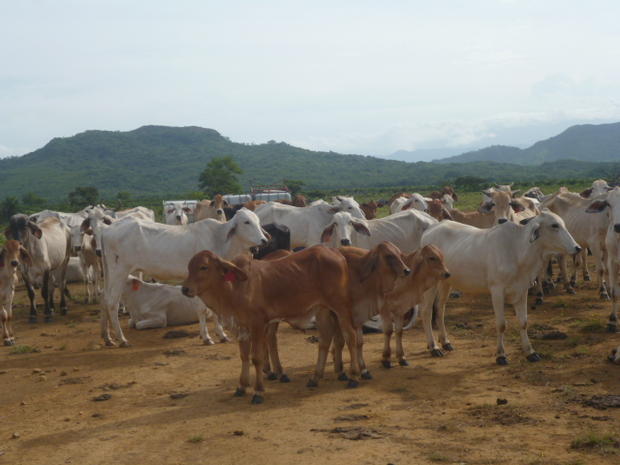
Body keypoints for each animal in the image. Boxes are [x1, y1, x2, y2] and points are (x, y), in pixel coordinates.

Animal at [99, 208, 268, 346]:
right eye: (246, 222)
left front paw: (221, 335)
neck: (219, 239)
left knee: (104, 299)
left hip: (109, 273)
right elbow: (202, 309)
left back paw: (107, 338)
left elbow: (213, 310)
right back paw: (122, 339)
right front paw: (206, 337)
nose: (264, 240)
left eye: (258, 221)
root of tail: (107, 230)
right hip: (119, 271)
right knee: (112, 303)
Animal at [418, 209, 580, 362]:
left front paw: (530, 352)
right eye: (554, 225)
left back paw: (445, 342)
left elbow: (523, 322)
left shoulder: (522, 290)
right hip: (431, 285)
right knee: (426, 311)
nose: (577, 248)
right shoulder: (497, 290)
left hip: (446, 282)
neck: (517, 250)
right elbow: (501, 324)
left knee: (440, 308)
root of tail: (430, 229)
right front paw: (501, 355)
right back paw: (433, 347)